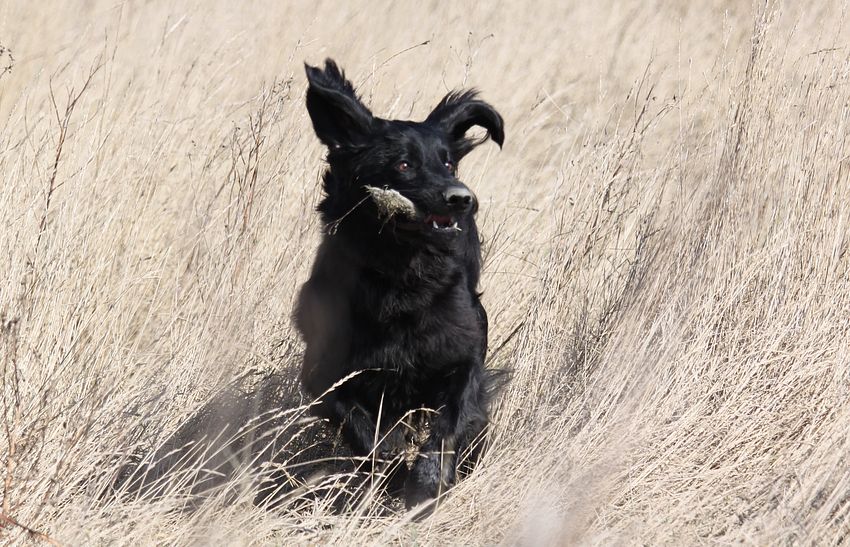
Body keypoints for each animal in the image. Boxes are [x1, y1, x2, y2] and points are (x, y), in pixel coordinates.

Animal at [294, 59, 504, 509]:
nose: (462, 198)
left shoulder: (463, 357)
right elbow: (361, 428)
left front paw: (426, 483)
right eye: (404, 164)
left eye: (448, 164)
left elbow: (452, 419)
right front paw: (392, 468)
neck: (401, 278)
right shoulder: (325, 375)